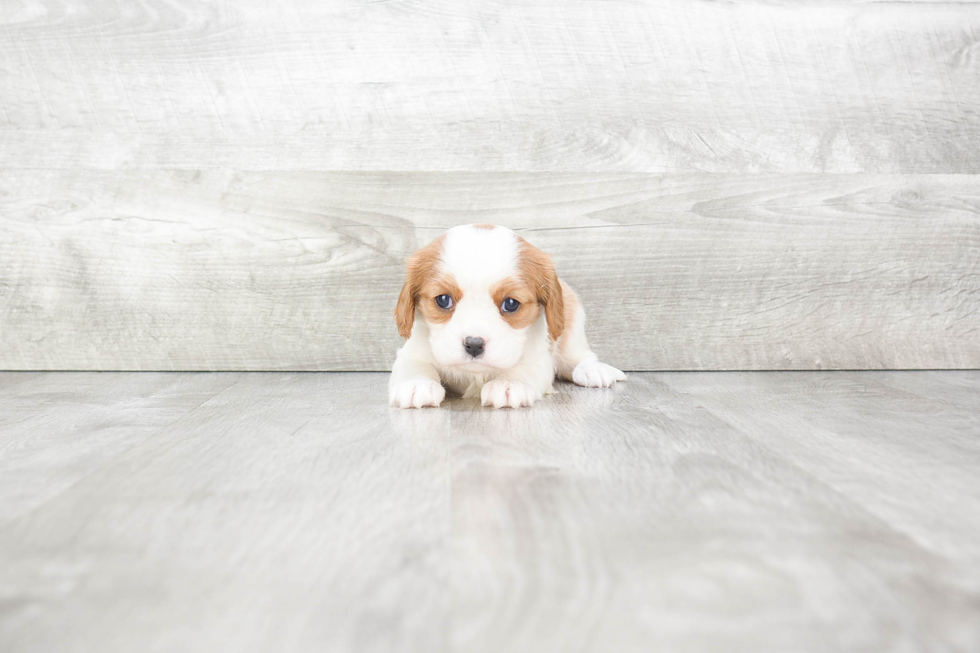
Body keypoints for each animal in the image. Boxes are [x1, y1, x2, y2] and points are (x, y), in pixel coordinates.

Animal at [386, 224, 624, 408]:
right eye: (443, 300)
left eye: (511, 304)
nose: (474, 344)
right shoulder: (412, 351)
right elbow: (416, 365)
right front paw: (416, 384)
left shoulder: (539, 358)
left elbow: (523, 369)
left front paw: (509, 384)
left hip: (572, 331)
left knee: (580, 357)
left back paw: (593, 370)